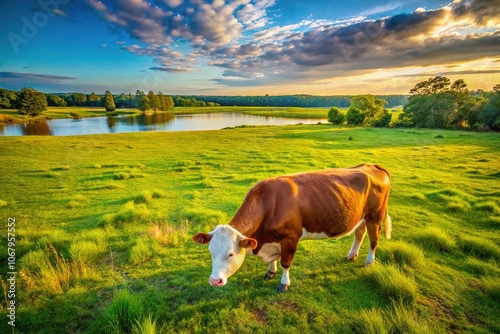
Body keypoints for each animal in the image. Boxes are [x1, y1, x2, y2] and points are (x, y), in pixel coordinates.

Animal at [193, 163, 392, 290]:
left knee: (374, 239)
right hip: (361, 217)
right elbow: (274, 260)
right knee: (359, 233)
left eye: (231, 254)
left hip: (375, 216)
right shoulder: (271, 239)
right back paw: (352, 255)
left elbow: (285, 262)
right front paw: (270, 272)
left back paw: (369, 261)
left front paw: (284, 283)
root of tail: (372, 166)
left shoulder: (290, 238)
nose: (215, 281)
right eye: (210, 252)